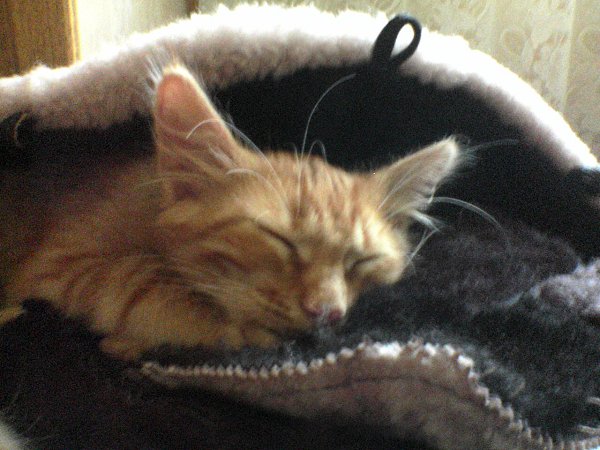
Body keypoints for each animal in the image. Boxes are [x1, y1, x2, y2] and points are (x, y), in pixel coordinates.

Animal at [0, 65, 459, 360]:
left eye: (362, 261)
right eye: (281, 241)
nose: (327, 312)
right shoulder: (60, 264)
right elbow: (144, 284)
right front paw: (229, 328)